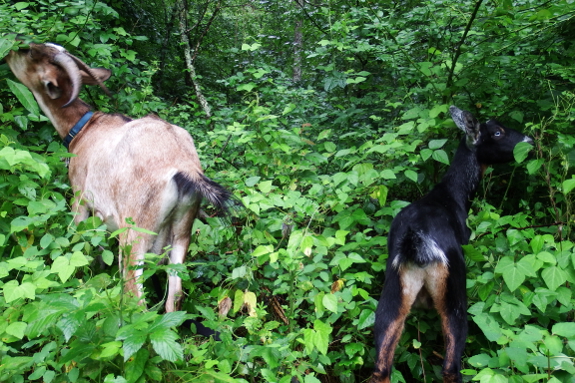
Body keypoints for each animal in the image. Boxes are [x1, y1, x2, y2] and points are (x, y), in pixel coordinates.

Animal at [4, 42, 234, 312]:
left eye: (30, 52)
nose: (9, 52)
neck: (83, 128)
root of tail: (183, 168)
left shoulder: (80, 197)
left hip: (135, 233)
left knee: (137, 295)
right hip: (181, 232)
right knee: (174, 296)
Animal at [372, 106, 532, 383]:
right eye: (497, 132)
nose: (529, 141)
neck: (453, 195)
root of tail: (418, 244)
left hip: (393, 285)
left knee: (382, 363)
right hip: (454, 284)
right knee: (451, 362)